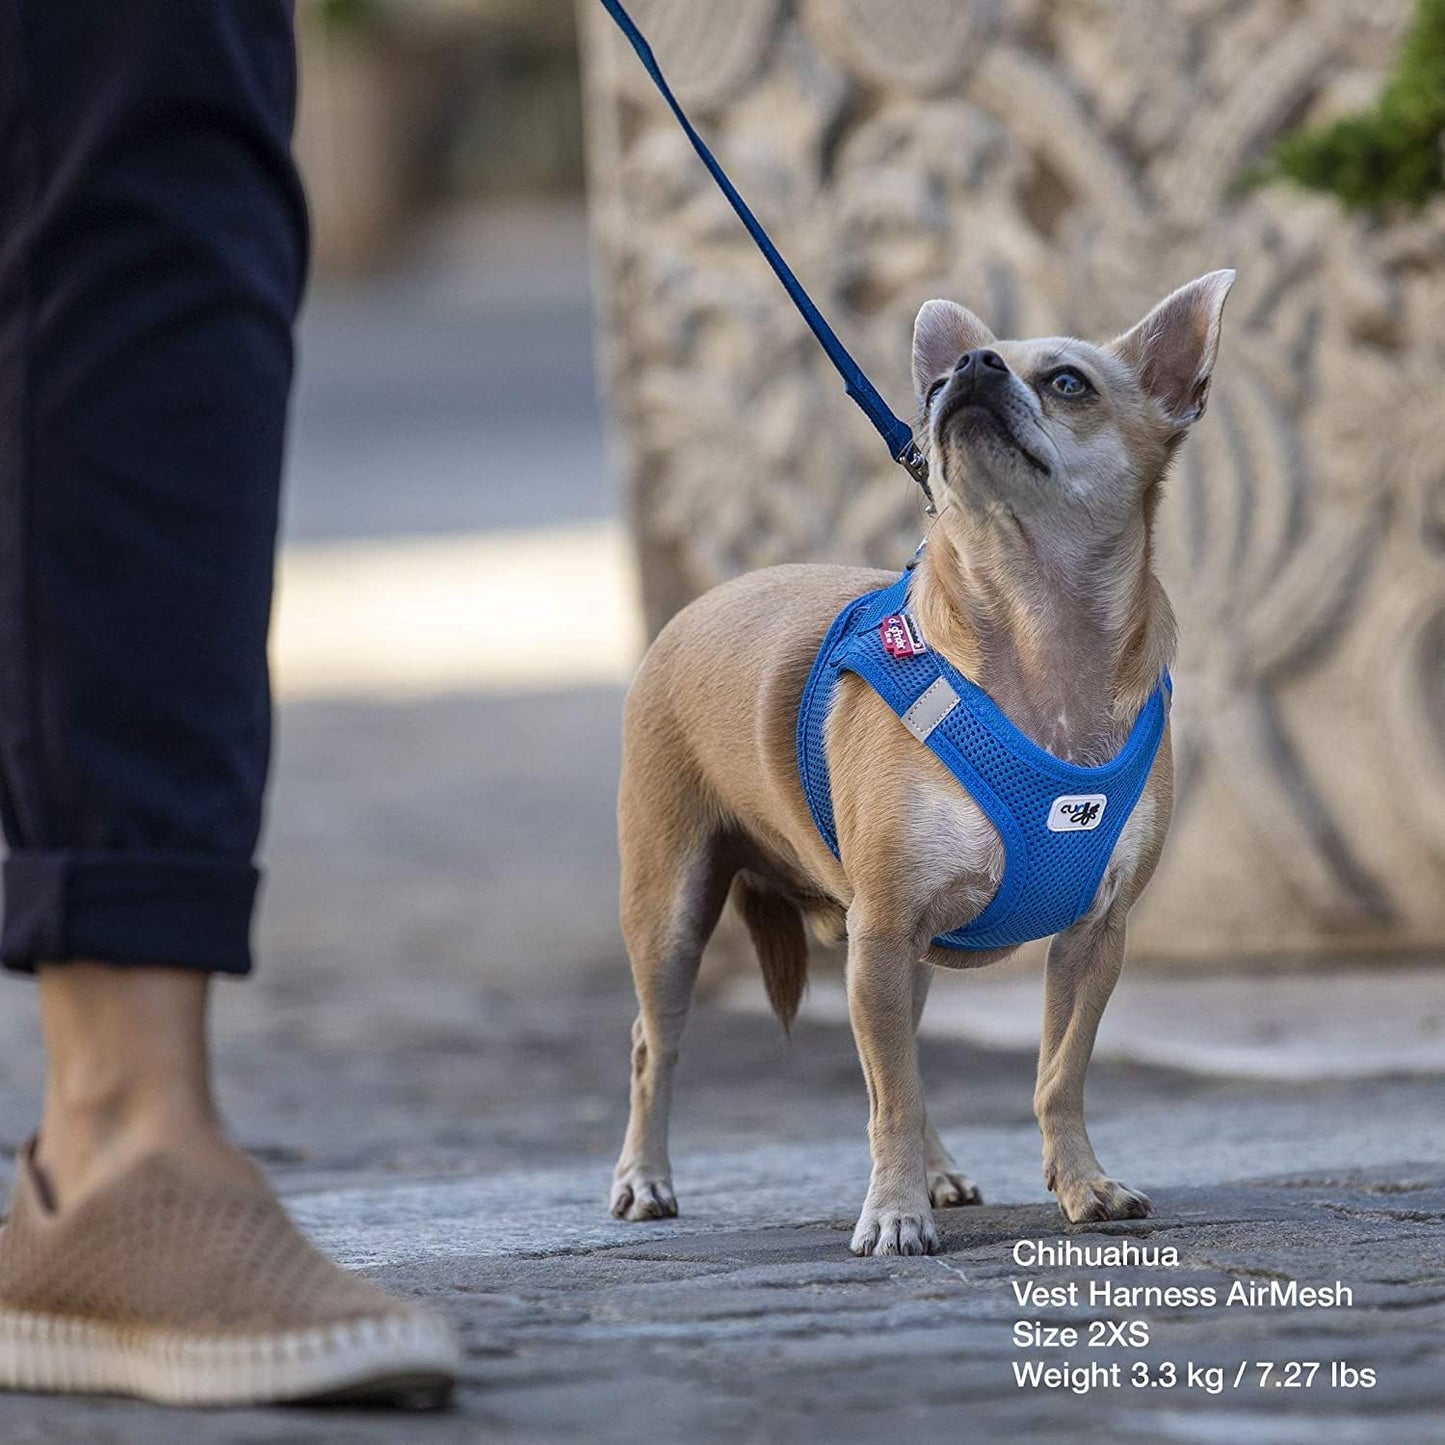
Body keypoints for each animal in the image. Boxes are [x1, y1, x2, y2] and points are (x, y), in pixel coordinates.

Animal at [606, 271, 1231, 1254]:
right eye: (936, 385)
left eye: (1068, 383)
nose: (966, 368)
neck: (1036, 630)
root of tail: (698, 605)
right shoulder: (884, 928)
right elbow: (888, 1094)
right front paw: (894, 1213)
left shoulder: (1090, 936)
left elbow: (1056, 1075)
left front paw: (1082, 1184)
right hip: (672, 913)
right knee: (656, 1044)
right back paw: (644, 1178)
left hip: (915, 950)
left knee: (902, 1057)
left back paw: (937, 1171)